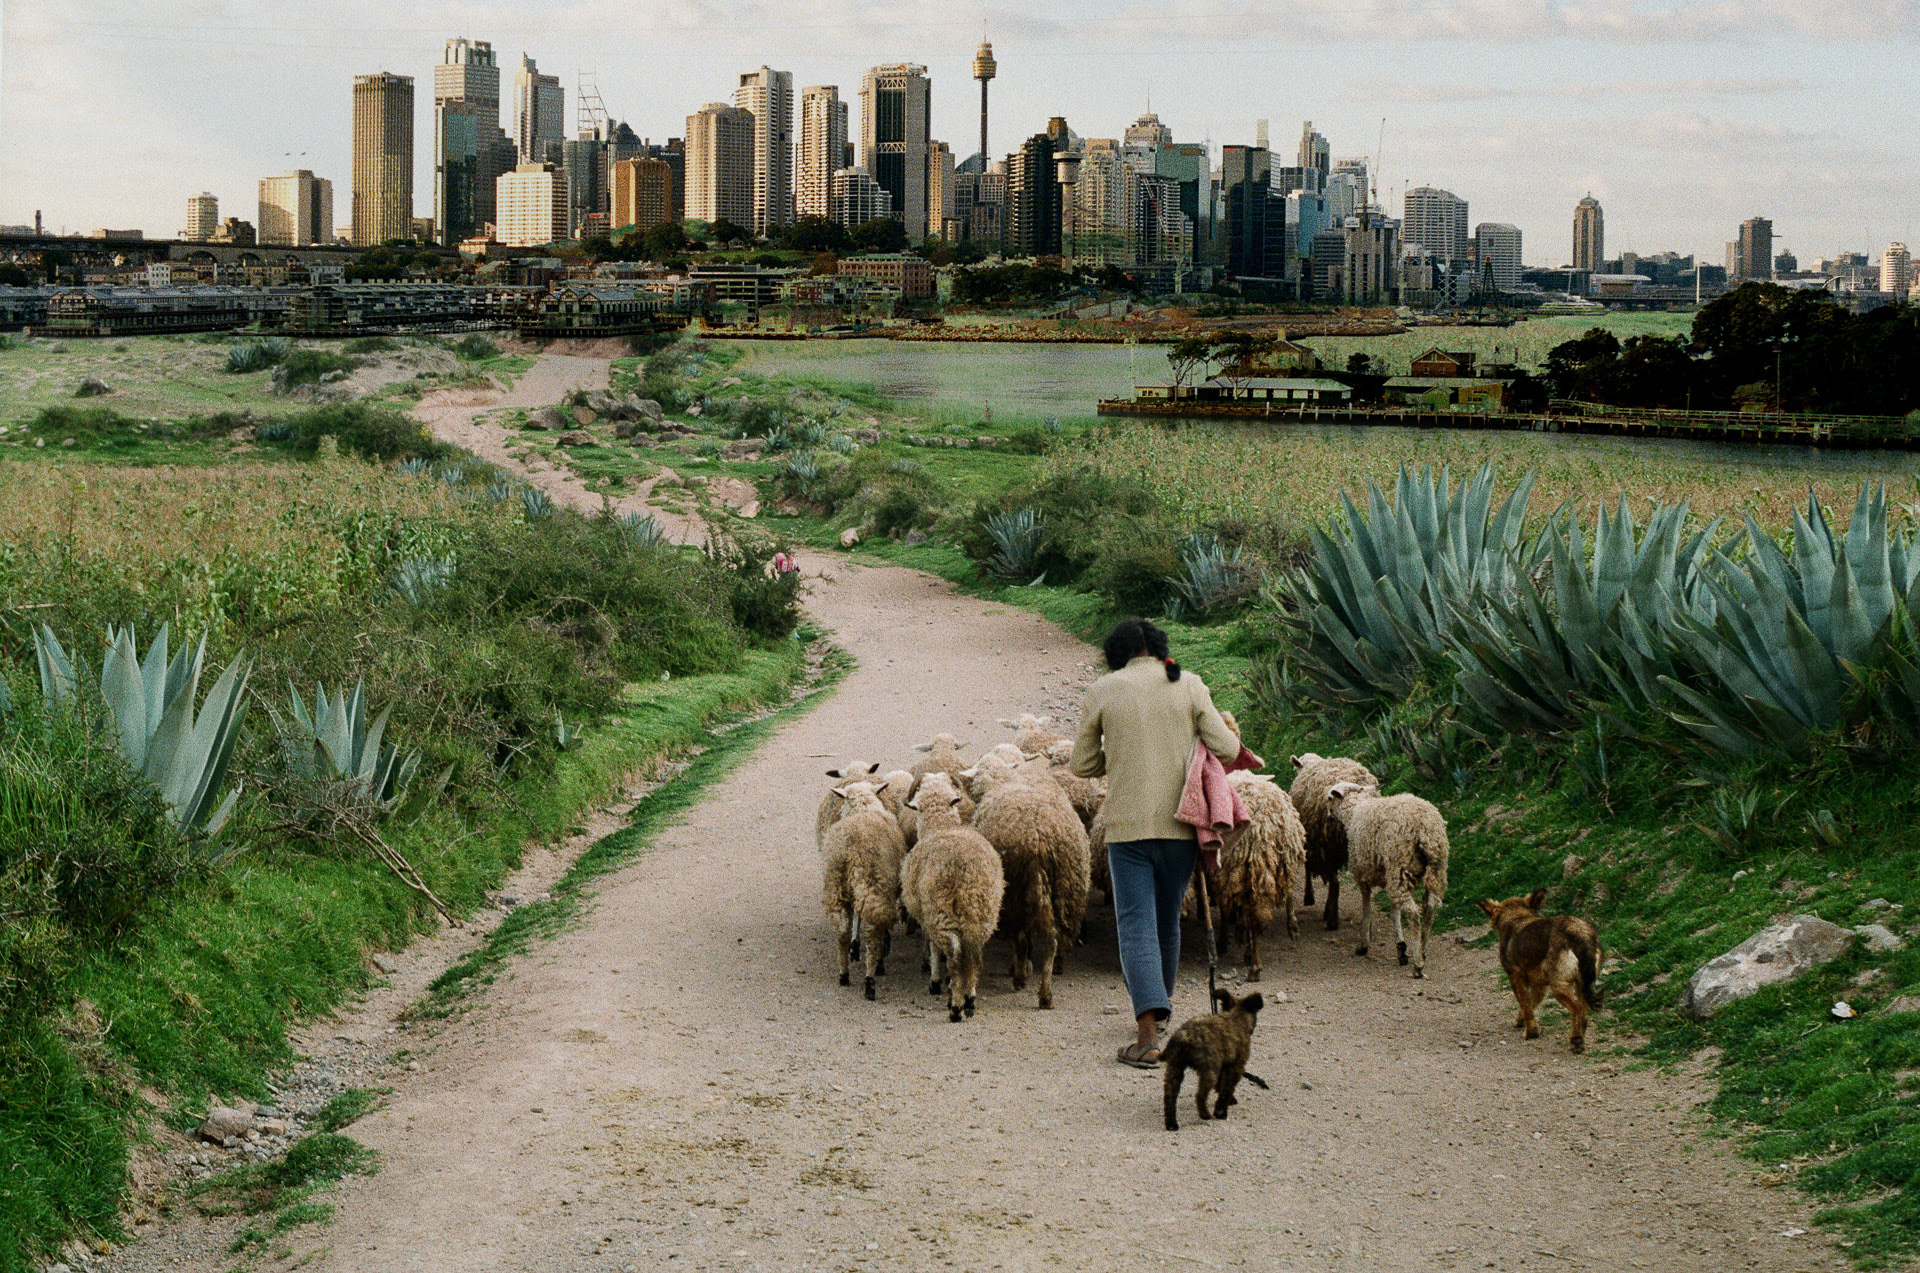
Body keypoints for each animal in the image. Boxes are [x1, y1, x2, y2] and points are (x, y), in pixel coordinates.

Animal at [819, 782, 908, 1000]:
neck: (863, 810)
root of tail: (853, 852)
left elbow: (855, 919)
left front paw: (854, 948)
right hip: (875, 885)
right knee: (872, 932)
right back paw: (871, 979)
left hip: (837, 885)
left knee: (842, 929)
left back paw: (844, 974)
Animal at [900, 772, 1006, 1022]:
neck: (940, 825)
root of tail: (962, 870)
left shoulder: (926, 916)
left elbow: (933, 947)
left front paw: (936, 981)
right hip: (983, 913)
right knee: (974, 955)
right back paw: (970, 999)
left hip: (942, 912)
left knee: (956, 956)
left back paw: (956, 1007)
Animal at [968, 764, 1091, 1009]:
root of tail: (1038, 839)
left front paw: (1019, 967)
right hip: (1066, 891)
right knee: (1053, 939)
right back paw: (1047, 991)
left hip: (1014, 892)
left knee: (1022, 937)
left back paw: (1020, 978)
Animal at [1289, 753, 1379, 932]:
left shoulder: (1316, 844)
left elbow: (1311, 870)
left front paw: (1310, 897)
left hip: (1328, 846)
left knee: (1335, 883)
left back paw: (1332, 920)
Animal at [1326, 781, 1450, 978]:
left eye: (1329, 798)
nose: (1328, 817)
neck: (1354, 812)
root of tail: (1424, 826)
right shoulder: (1388, 873)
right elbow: (1394, 911)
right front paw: (1401, 948)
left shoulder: (1363, 873)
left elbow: (1367, 908)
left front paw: (1364, 944)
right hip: (1435, 866)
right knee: (1430, 906)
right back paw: (1422, 950)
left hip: (1398, 861)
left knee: (1413, 913)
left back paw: (1417, 965)